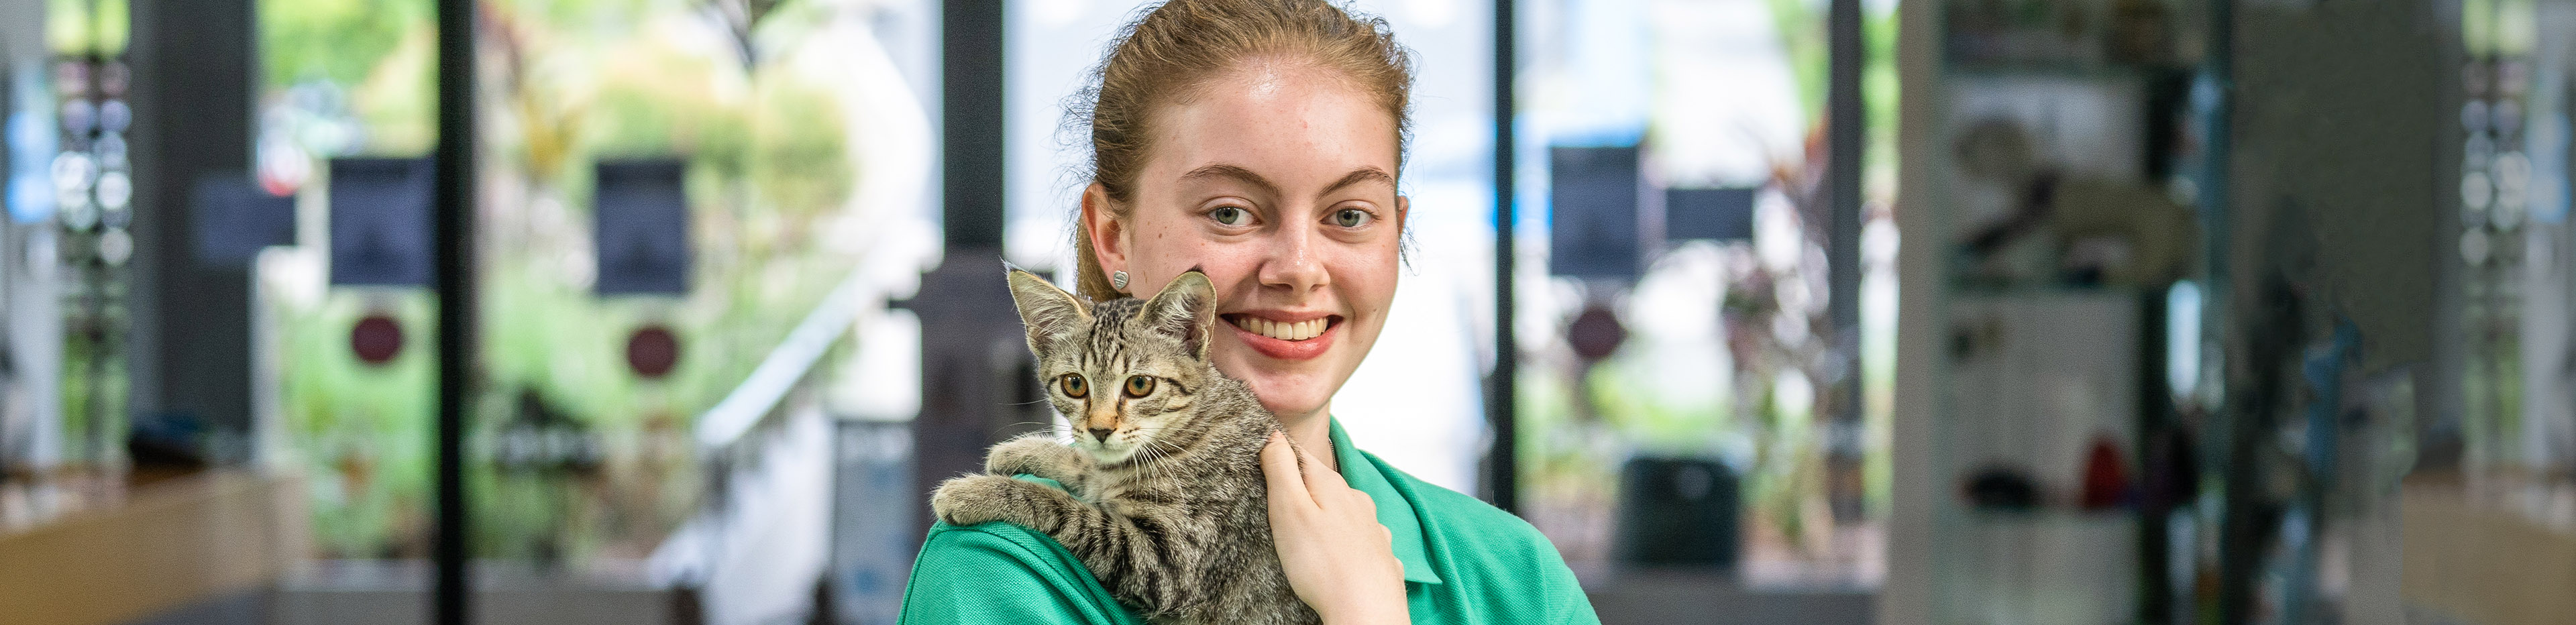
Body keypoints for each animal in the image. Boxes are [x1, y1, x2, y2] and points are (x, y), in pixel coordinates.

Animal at [932, 268, 1319, 625]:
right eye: (1075, 384)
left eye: (1140, 385)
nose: (1101, 429)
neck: (1186, 430)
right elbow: (1084, 465)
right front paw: (1019, 451)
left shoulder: (1169, 562)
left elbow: (1065, 508)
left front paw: (978, 493)